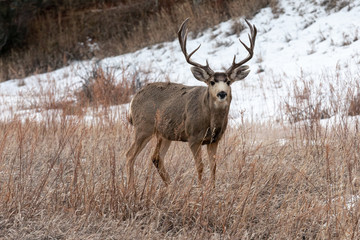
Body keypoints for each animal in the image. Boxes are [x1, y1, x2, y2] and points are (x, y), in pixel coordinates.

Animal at [126, 17, 256, 188]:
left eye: (228, 81)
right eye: (212, 82)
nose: (222, 93)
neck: (211, 120)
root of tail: (134, 98)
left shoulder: (214, 140)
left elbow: (213, 166)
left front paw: (212, 188)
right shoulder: (193, 137)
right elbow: (200, 166)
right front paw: (200, 188)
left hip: (165, 133)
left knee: (156, 157)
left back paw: (170, 187)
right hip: (143, 126)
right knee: (130, 155)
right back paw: (131, 188)